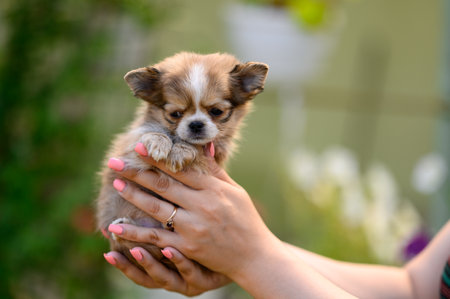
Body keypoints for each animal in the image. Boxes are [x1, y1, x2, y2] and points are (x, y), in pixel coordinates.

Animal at [96, 52, 268, 270]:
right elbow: (149, 134)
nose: (196, 124)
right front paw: (158, 142)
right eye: (175, 114)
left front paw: (181, 151)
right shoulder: (129, 151)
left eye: (217, 111)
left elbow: (197, 148)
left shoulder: (216, 152)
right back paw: (122, 226)